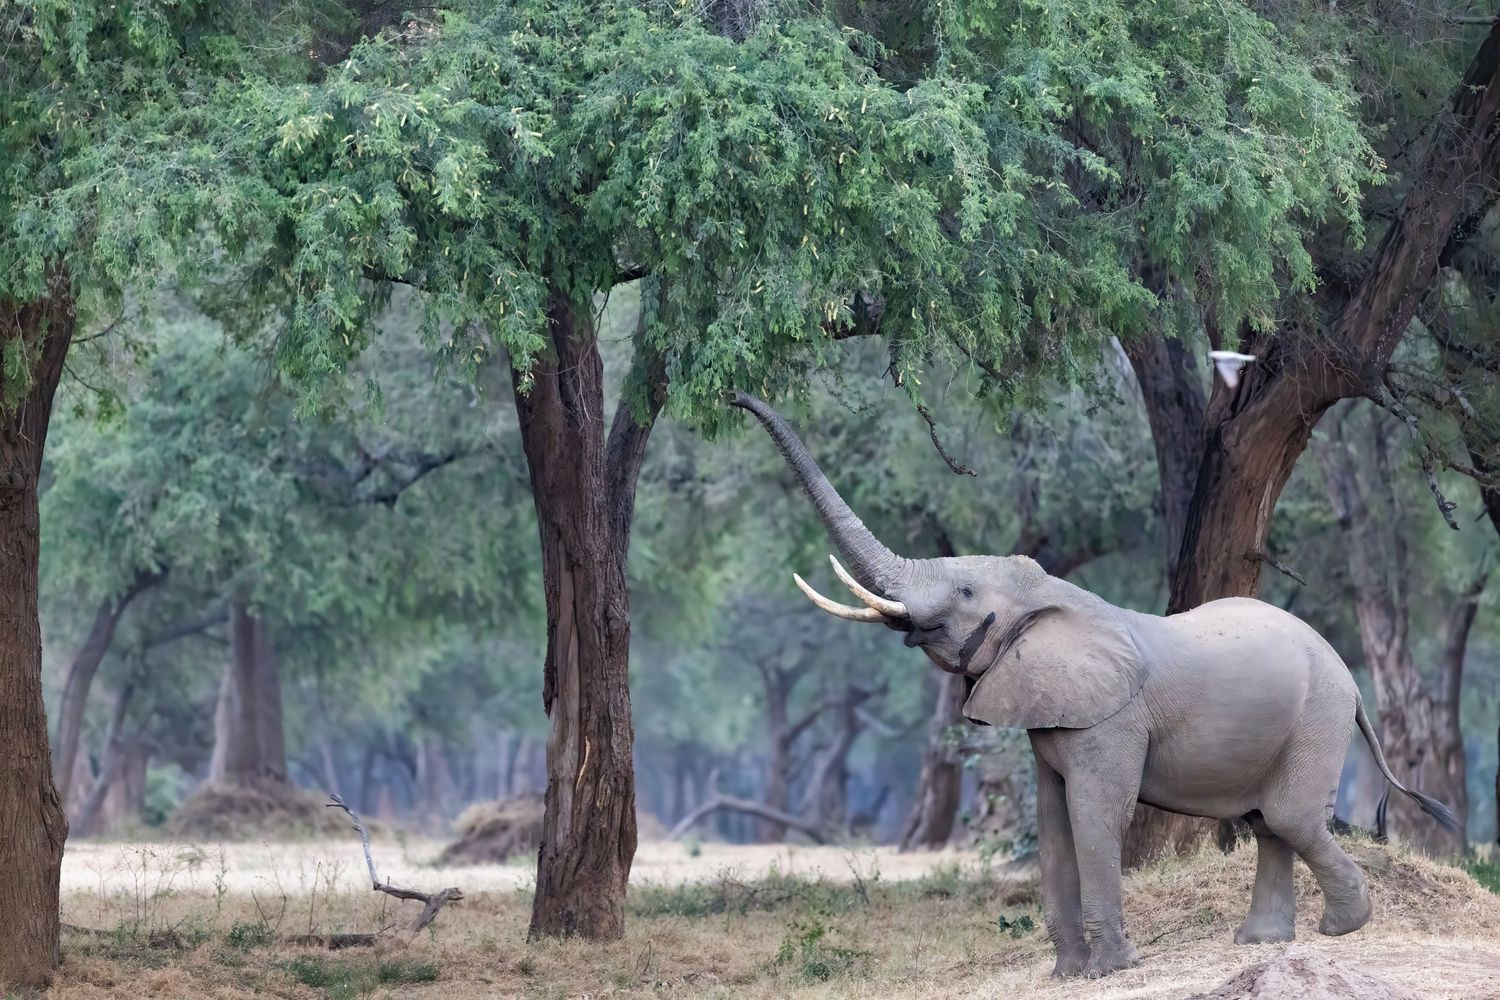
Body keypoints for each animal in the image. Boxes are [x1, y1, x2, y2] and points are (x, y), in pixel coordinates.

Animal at [730, 391, 1460, 979]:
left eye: (964, 592)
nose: (738, 398)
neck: (1055, 596)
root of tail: (1351, 683)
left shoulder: (1111, 718)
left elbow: (1093, 815)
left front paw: (1111, 970)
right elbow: (1054, 825)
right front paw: (1067, 976)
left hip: (1318, 716)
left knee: (1287, 817)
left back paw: (1342, 927)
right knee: (1267, 823)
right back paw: (1259, 943)